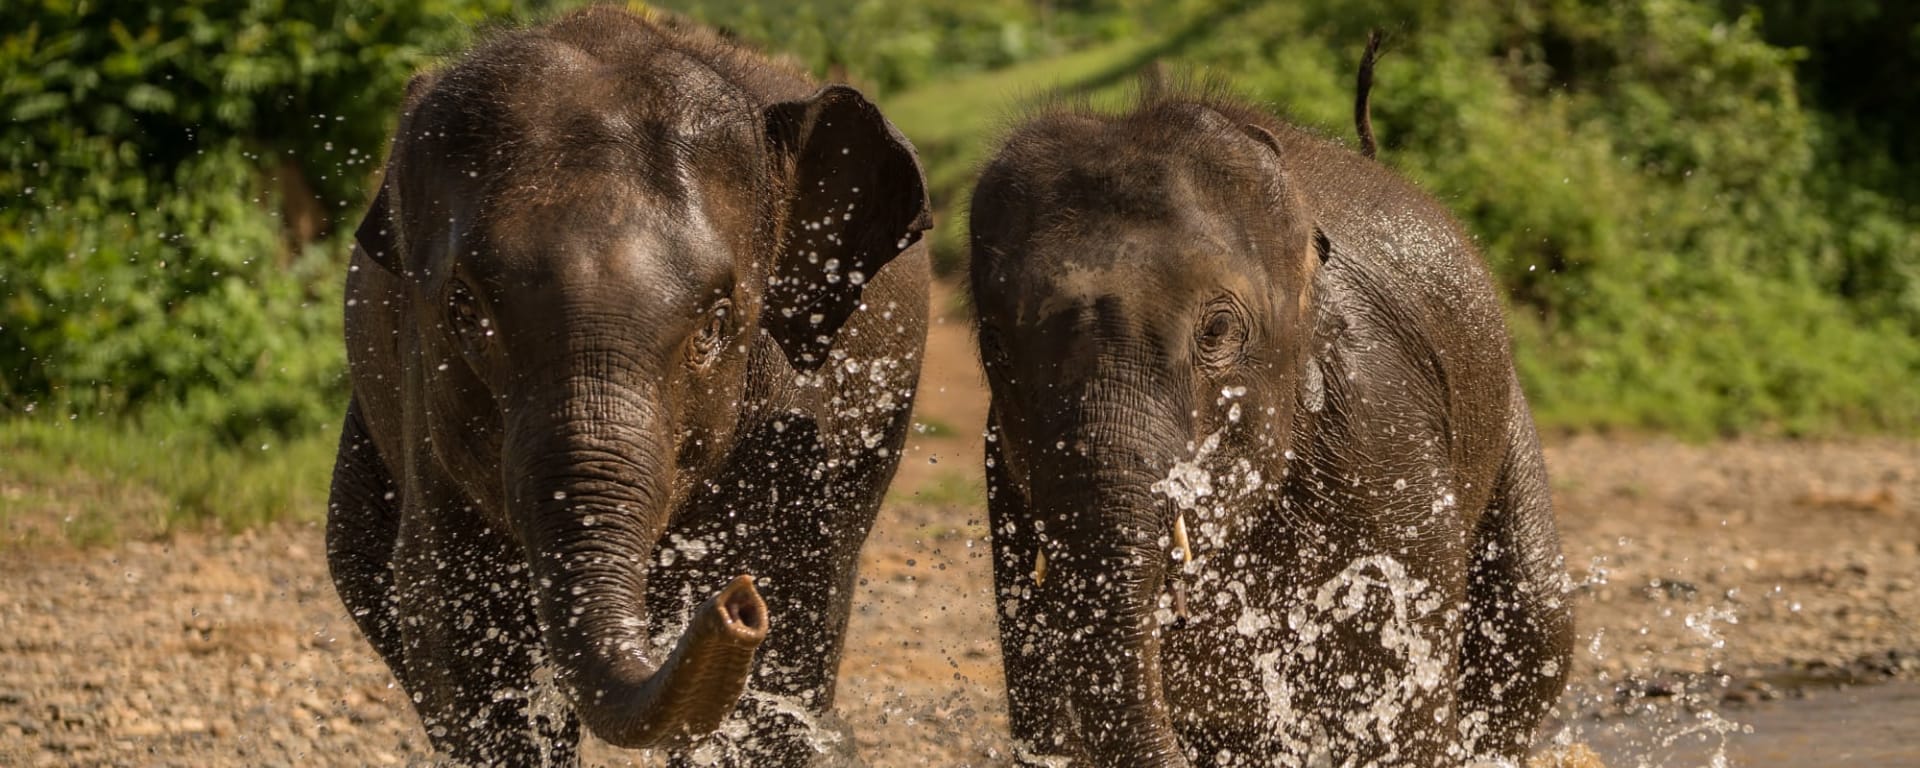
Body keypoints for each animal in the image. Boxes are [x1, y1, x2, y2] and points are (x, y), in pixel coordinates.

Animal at [324, 8, 931, 766]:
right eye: (463, 308)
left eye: (717, 323)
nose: (737, 605)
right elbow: (459, 643)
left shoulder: (796, 427)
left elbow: (784, 657)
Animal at [967, 89, 1574, 767]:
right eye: (996, 343)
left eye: (1217, 330)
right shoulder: (1005, 478)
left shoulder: (1383, 433)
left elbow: (1397, 700)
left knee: (1540, 615)